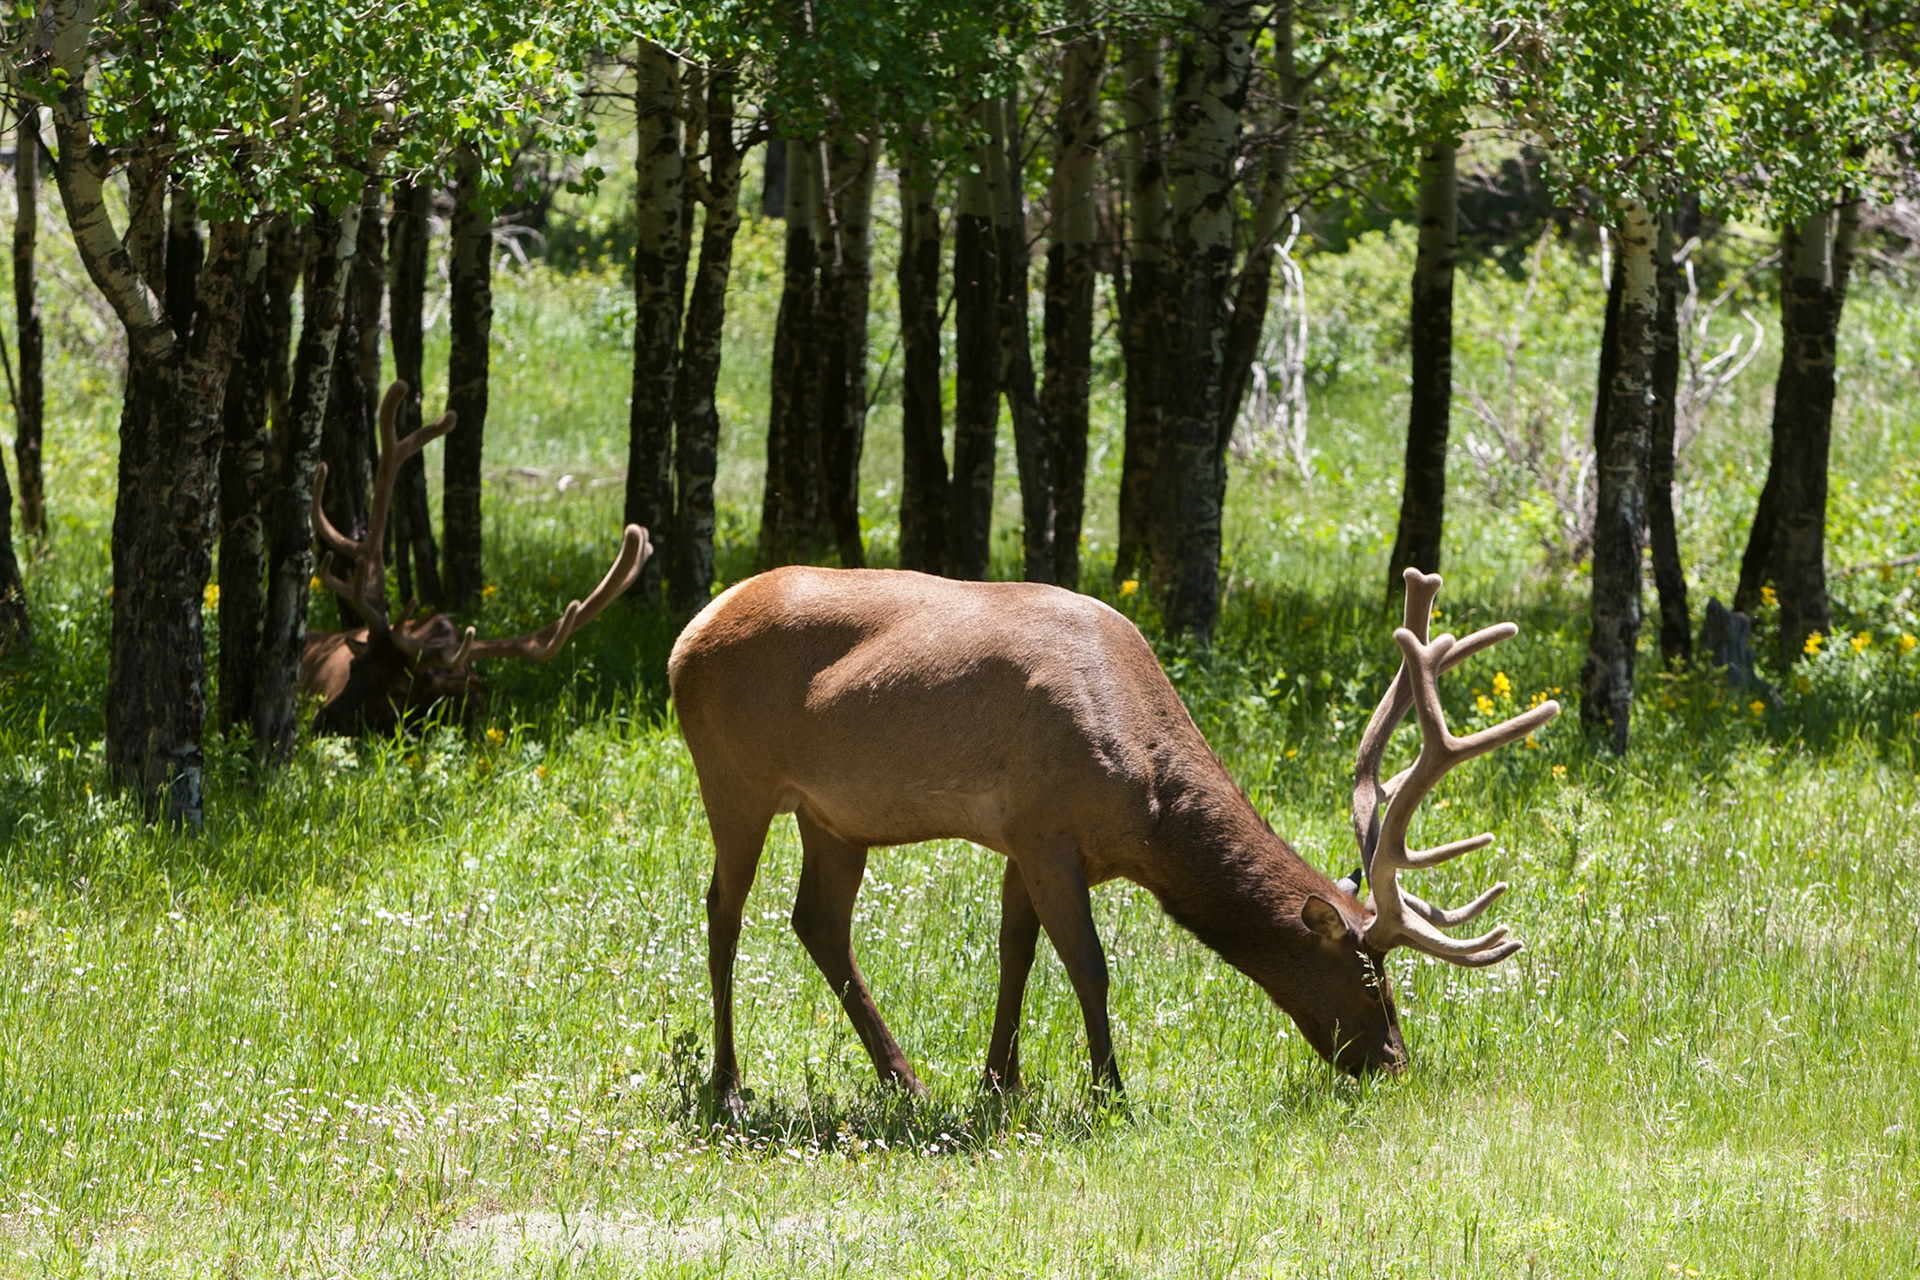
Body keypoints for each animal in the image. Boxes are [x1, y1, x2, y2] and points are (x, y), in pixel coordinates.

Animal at [667, 565, 1559, 1102]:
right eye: (1371, 979)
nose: (1393, 1063)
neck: (1144, 816)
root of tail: (687, 634)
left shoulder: (1026, 844)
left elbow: (1017, 955)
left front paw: (1002, 1083)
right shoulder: (1044, 831)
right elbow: (1089, 967)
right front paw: (1111, 1094)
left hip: (836, 816)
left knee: (817, 921)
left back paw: (904, 1080)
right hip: (734, 777)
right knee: (723, 911)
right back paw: (728, 1084)